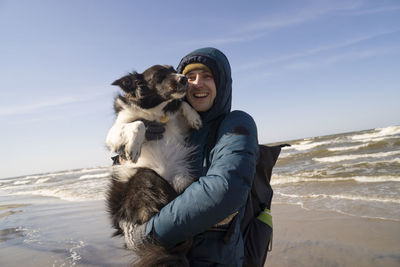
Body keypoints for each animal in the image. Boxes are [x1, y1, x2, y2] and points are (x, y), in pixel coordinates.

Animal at [105, 65, 202, 267]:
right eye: (158, 76)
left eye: (173, 69)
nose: (184, 79)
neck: (157, 113)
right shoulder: (114, 133)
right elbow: (138, 124)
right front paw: (133, 146)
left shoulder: (179, 128)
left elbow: (182, 104)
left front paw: (194, 117)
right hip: (146, 176)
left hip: (182, 178)